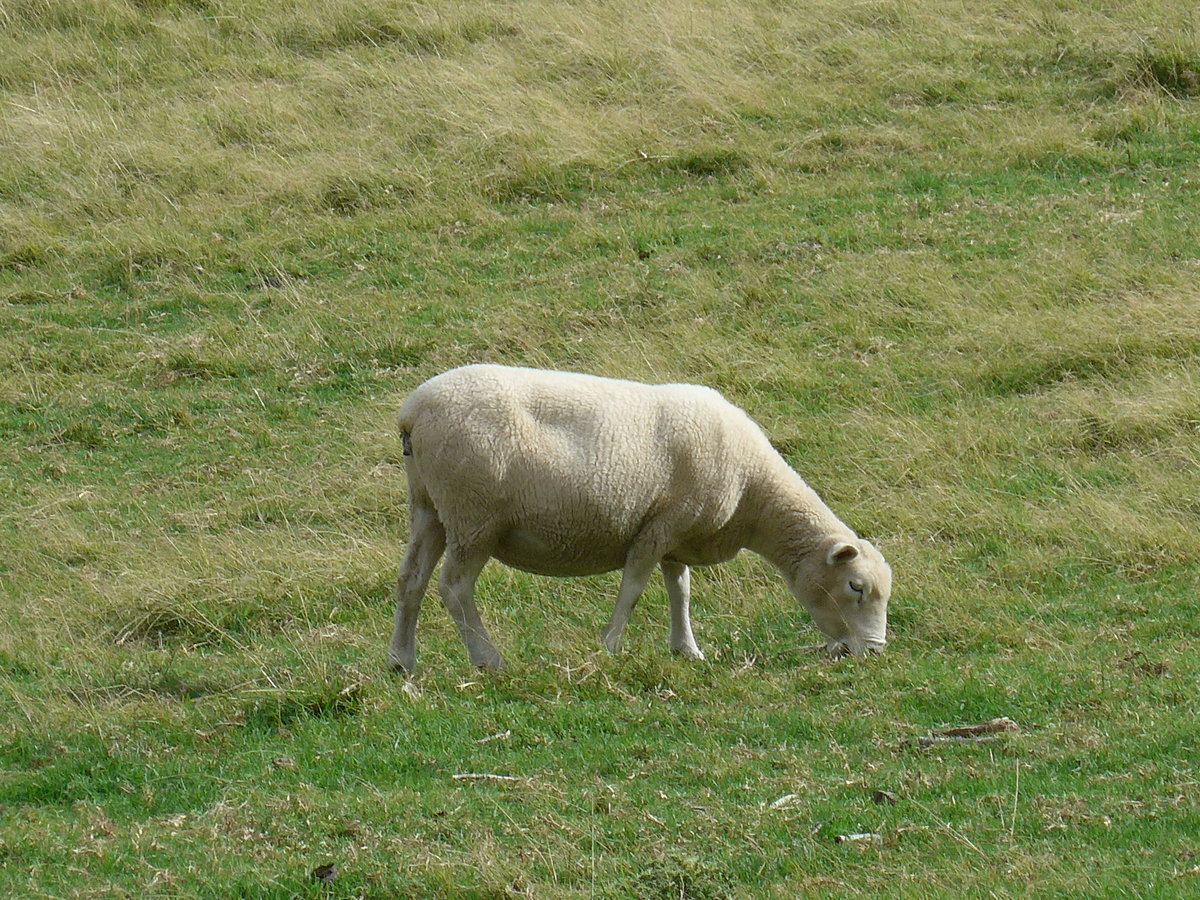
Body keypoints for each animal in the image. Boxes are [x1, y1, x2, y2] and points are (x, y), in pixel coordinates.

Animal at [389, 364, 892, 671]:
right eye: (855, 587)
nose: (874, 652)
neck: (753, 490)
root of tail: (413, 412)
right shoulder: (659, 525)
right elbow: (633, 588)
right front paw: (610, 647)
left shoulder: (680, 535)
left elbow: (680, 590)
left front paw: (687, 649)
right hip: (474, 515)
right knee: (454, 587)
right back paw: (488, 659)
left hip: (430, 507)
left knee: (411, 579)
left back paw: (401, 661)